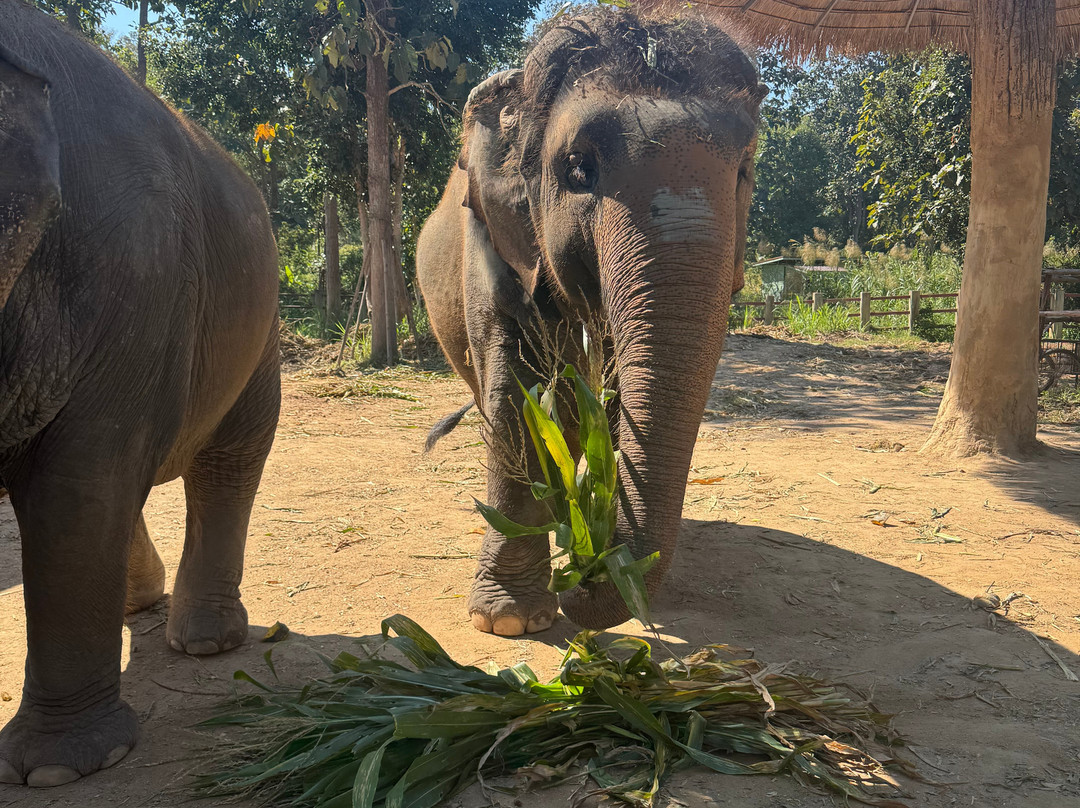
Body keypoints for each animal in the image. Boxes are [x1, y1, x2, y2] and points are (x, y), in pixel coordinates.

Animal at [0, 0, 280, 786]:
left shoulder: (133, 267)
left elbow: (77, 481)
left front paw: (56, 771)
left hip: (254, 334)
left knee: (222, 463)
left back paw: (206, 643)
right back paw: (138, 606)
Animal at [417, 9, 764, 636]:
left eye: (743, 172)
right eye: (579, 168)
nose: (585, 573)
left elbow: (618, 393)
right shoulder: (491, 246)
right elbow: (517, 395)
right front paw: (510, 620)